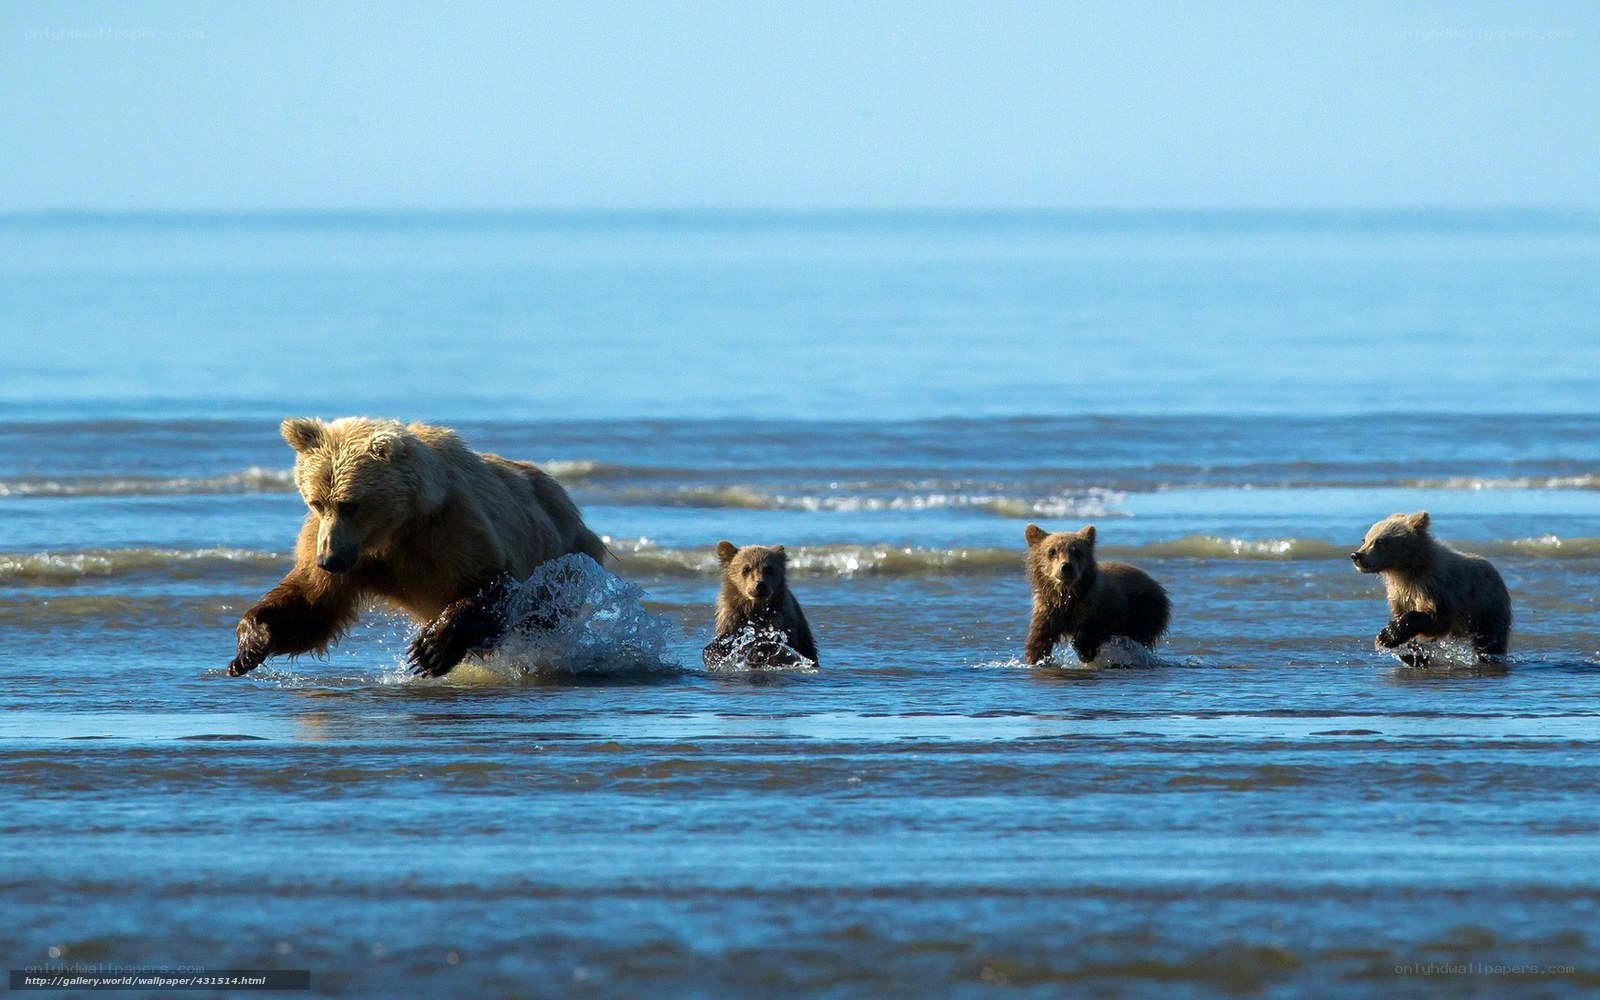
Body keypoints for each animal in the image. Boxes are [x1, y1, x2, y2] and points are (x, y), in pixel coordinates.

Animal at [226, 417, 609, 678]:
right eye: (317, 502)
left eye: (351, 504)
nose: (328, 560)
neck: (393, 531)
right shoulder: (340, 547)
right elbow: (312, 606)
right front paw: (251, 642)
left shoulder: (452, 528)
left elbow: (491, 581)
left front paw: (430, 648)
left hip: (562, 556)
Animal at [1023, 523, 1170, 664]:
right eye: (1052, 551)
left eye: (1077, 551)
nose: (1066, 567)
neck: (1067, 595)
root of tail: (1156, 583)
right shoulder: (1048, 610)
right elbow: (1039, 639)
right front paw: (1036, 658)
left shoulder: (1100, 608)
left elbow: (1095, 629)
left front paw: (1085, 652)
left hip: (1146, 608)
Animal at [1350, 511, 1511, 664]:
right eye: (1365, 539)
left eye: (1381, 540)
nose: (1356, 555)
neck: (1407, 571)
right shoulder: (1399, 595)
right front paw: (1410, 651)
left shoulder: (1435, 587)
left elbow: (1437, 618)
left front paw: (1387, 635)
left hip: (1487, 609)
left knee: (1489, 640)